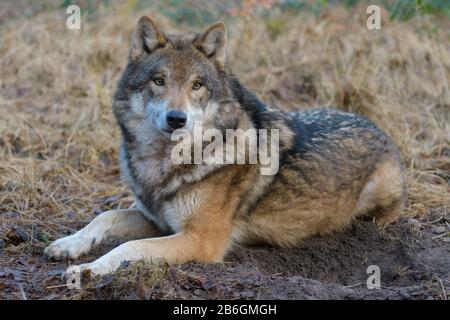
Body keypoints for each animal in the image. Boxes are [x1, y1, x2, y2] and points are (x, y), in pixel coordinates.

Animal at [44, 16, 404, 276]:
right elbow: (104, 217)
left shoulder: (200, 240)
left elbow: (129, 248)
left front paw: (88, 270)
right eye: (158, 81)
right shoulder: (157, 220)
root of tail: (379, 128)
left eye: (197, 85)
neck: (163, 164)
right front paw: (68, 245)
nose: (177, 119)